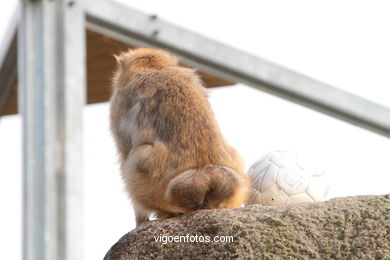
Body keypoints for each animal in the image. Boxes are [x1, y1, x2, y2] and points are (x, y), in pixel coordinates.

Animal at [109, 47, 250, 225]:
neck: (155, 67)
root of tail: (205, 174)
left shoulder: (120, 102)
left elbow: (124, 150)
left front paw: (140, 220)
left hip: (154, 187)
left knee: (133, 160)